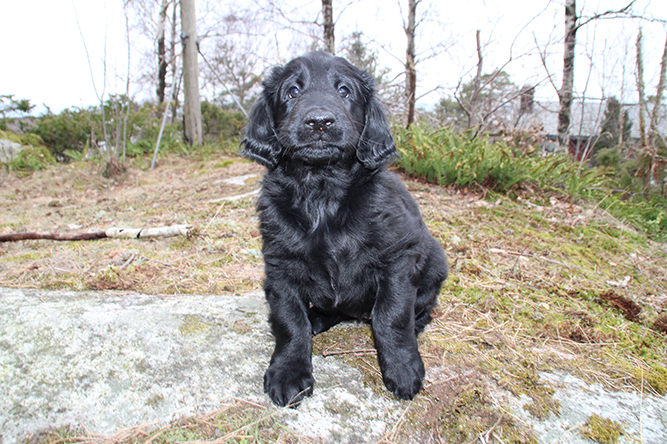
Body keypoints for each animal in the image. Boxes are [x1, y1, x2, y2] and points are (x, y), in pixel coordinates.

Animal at [241, 51, 447, 407]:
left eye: (344, 91)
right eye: (292, 91)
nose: (319, 122)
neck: (322, 191)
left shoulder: (398, 258)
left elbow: (392, 315)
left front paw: (403, 369)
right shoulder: (280, 265)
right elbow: (288, 320)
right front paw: (288, 372)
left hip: (434, 263)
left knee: (418, 310)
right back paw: (317, 319)